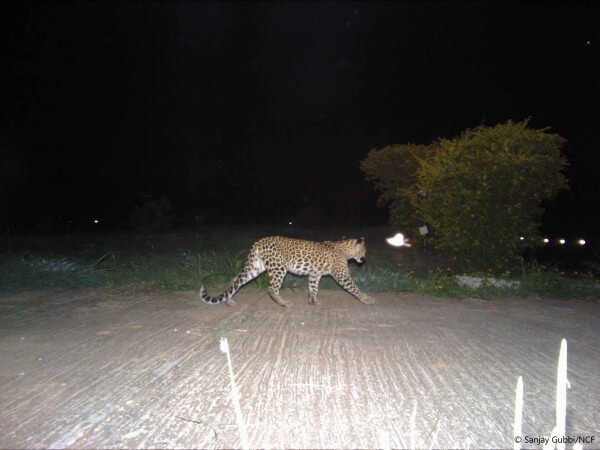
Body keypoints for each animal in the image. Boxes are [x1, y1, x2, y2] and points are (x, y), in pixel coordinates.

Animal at [199, 236, 378, 306]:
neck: (345, 250)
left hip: (256, 267)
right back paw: (283, 303)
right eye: (364, 251)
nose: (364, 259)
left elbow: (313, 287)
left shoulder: (314, 274)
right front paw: (367, 299)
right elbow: (355, 288)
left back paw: (229, 301)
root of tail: (259, 242)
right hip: (279, 267)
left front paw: (314, 301)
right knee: (272, 288)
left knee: (235, 280)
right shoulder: (342, 275)